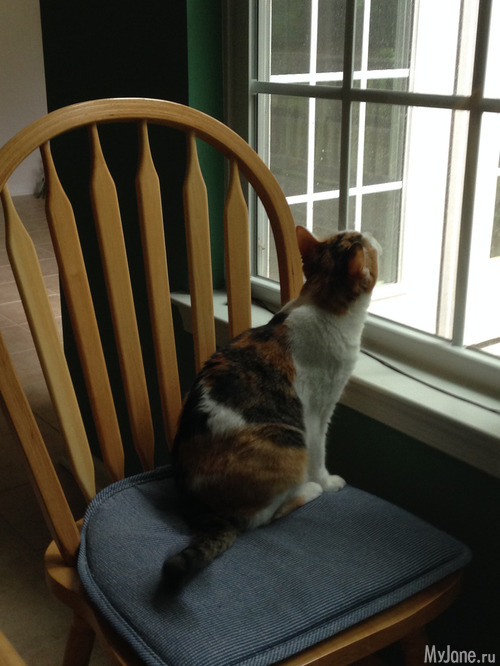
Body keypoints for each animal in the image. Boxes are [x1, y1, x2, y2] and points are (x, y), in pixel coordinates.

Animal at [163, 226, 379, 592]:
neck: (322, 302)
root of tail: (201, 507)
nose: (369, 232)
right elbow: (320, 454)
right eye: (363, 242)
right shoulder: (318, 412)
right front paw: (327, 481)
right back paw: (309, 490)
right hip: (290, 440)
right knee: (261, 518)